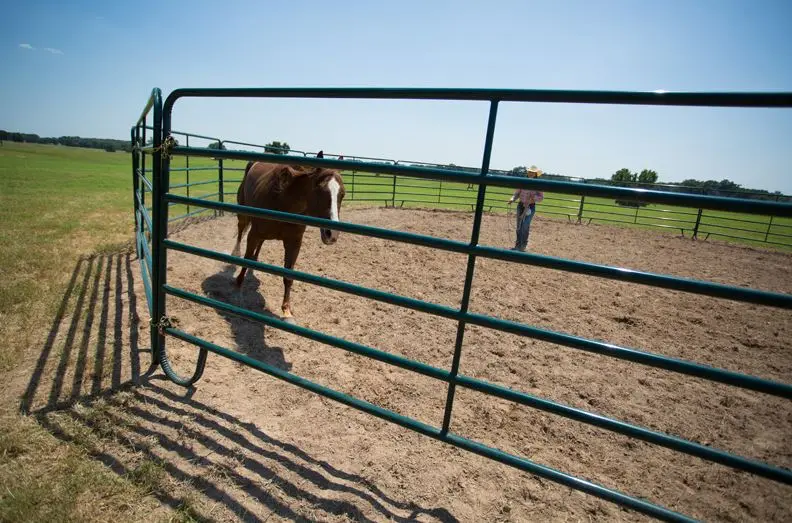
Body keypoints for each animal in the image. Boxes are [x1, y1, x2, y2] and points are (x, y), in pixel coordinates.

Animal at [231, 161, 346, 322]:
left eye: (342, 195)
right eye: (319, 191)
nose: (332, 234)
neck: (283, 201)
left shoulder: (294, 243)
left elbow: (288, 277)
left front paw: (286, 310)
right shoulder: (253, 234)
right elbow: (246, 260)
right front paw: (238, 284)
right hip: (243, 215)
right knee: (241, 231)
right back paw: (235, 253)